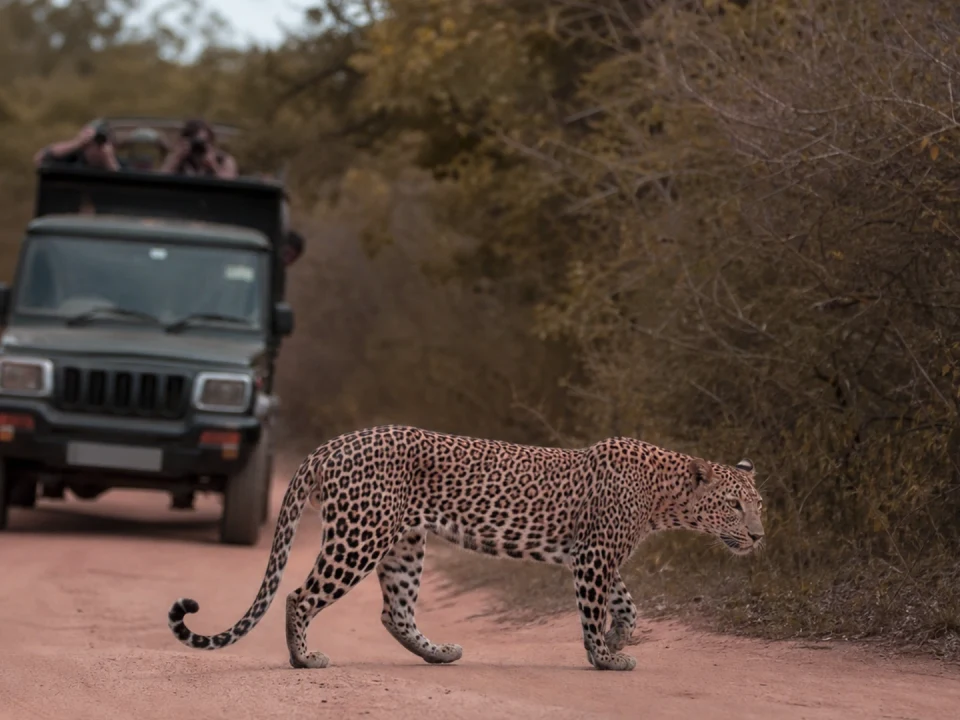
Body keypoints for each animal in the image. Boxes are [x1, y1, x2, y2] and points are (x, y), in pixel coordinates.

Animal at [167, 424, 765, 671]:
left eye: (759, 504)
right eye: (735, 506)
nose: (760, 535)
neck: (667, 498)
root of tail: (332, 444)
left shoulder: (594, 555)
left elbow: (627, 602)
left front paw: (620, 638)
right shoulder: (594, 556)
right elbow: (594, 612)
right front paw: (605, 658)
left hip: (404, 544)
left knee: (394, 612)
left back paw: (438, 653)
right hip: (359, 537)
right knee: (300, 596)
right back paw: (304, 659)